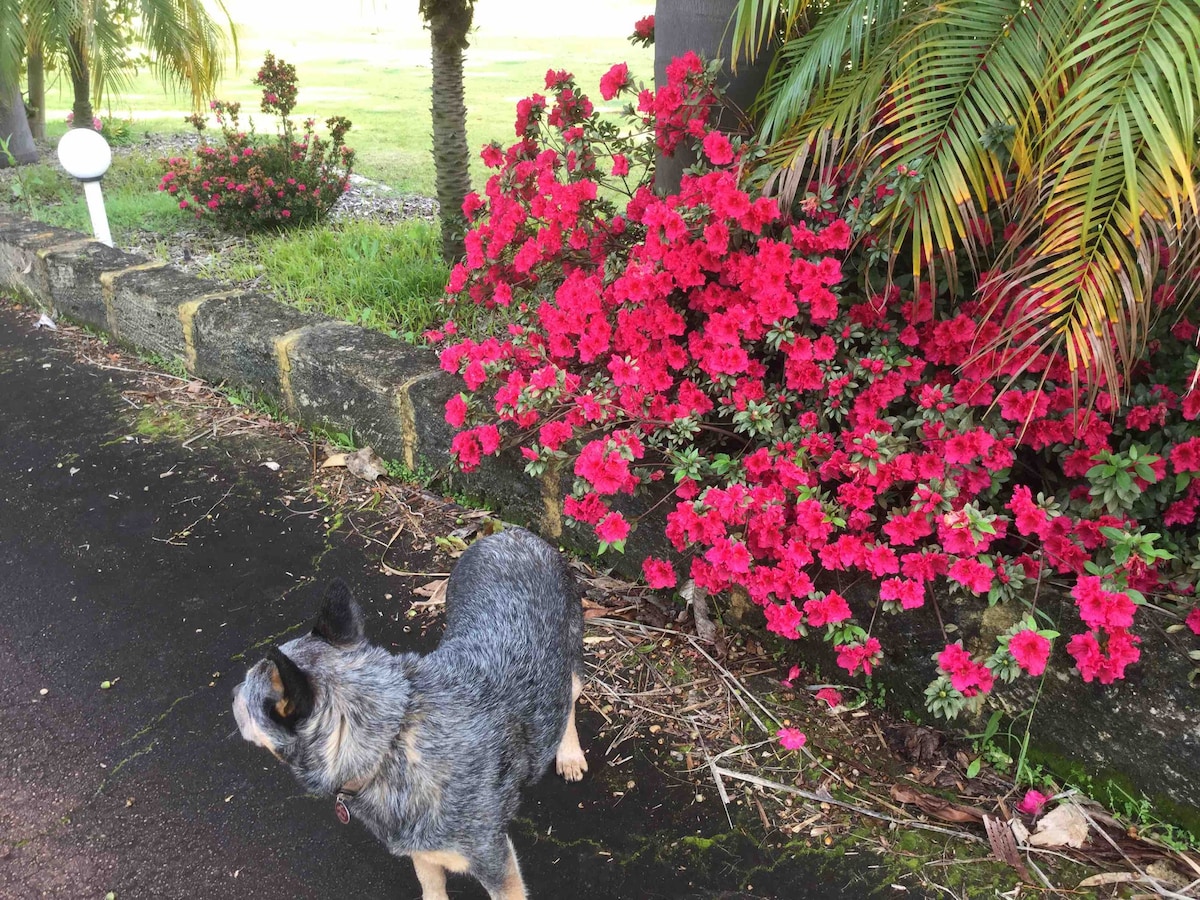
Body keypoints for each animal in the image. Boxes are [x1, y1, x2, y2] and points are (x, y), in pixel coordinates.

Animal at [230, 528, 585, 900]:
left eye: (247, 693)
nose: (232, 693)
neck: (390, 744)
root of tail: (510, 533)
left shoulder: (495, 862)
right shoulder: (421, 850)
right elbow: (431, 887)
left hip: (570, 663)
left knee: (570, 699)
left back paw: (569, 753)